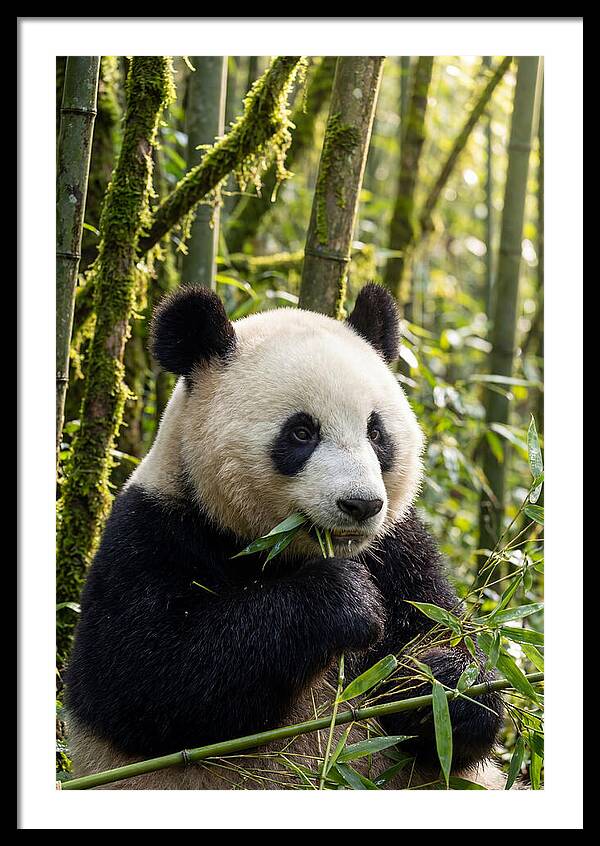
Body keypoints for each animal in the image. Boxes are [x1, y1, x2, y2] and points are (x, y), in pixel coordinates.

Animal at [65, 282, 505, 790]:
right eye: (301, 432)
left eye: (376, 433)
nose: (360, 505)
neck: (282, 549)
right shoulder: (152, 532)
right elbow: (147, 678)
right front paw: (345, 600)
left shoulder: (399, 548)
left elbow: (450, 650)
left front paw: (440, 683)